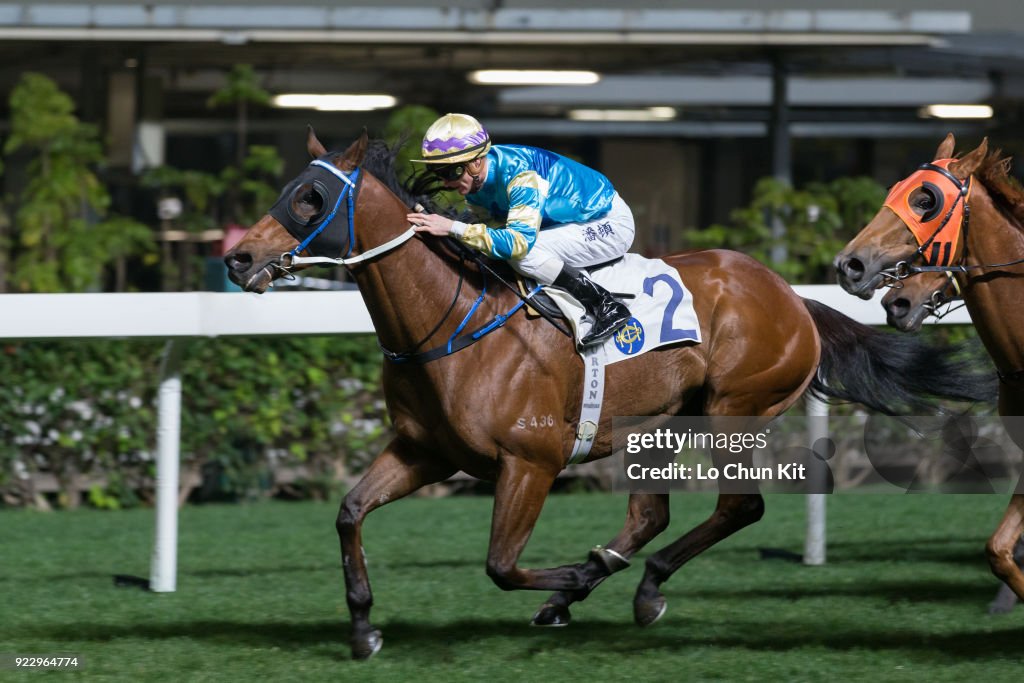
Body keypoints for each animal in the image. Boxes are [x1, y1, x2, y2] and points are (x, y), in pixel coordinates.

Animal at [224, 131, 991, 659]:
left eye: (310, 198)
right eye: (291, 188)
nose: (237, 257)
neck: (450, 324)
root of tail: (791, 296)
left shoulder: (530, 462)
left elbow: (501, 565)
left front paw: (570, 574)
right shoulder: (423, 451)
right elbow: (349, 513)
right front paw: (363, 627)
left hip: (732, 412)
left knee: (737, 506)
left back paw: (632, 585)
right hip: (660, 424)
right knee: (651, 513)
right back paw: (605, 581)